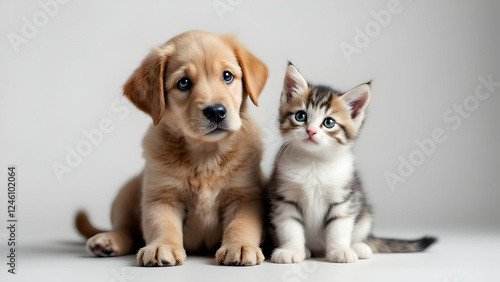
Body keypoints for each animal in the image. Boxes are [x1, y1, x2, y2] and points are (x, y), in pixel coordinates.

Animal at [74, 30, 268, 266]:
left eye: (227, 76)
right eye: (183, 83)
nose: (216, 111)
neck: (206, 155)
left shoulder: (245, 197)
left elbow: (241, 224)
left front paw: (239, 246)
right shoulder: (161, 197)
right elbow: (162, 224)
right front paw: (162, 247)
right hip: (127, 193)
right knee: (127, 231)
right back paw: (108, 241)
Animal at [266, 62, 434, 264]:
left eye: (329, 122)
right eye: (300, 116)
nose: (311, 131)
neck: (314, 162)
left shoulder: (344, 198)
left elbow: (339, 227)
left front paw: (340, 251)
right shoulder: (284, 197)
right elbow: (290, 226)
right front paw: (291, 250)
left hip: (365, 215)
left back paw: (359, 247)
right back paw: (306, 250)